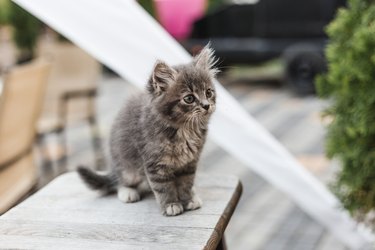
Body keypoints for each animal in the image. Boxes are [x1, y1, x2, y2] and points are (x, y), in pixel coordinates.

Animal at [78, 46, 219, 216]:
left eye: (208, 92)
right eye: (189, 98)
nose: (206, 105)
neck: (184, 129)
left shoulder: (190, 163)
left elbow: (186, 183)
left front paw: (188, 199)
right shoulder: (155, 163)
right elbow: (163, 187)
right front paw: (171, 204)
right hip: (126, 166)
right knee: (119, 180)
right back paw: (127, 192)